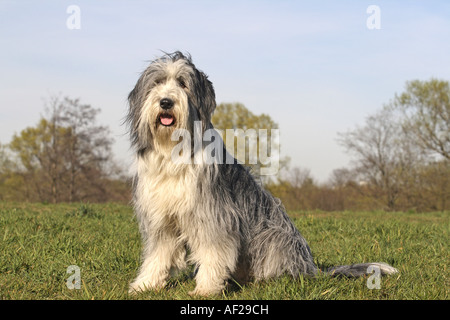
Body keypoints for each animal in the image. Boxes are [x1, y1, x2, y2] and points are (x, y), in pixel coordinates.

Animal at [125, 51, 396, 296]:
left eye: (182, 83)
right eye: (157, 83)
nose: (166, 102)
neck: (174, 152)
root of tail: (310, 267)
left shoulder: (214, 216)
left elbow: (213, 252)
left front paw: (206, 289)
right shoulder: (161, 219)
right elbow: (157, 254)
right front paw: (145, 285)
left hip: (274, 233)